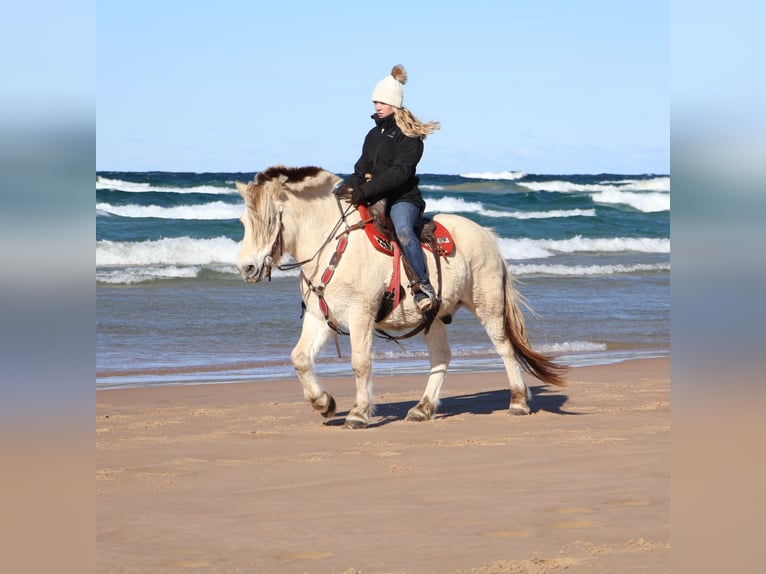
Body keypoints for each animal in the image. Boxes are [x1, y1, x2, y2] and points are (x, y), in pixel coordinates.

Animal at [235, 165, 567, 429]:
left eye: (268, 221)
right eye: (242, 222)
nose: (246, 268)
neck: (334, 246)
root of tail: (487, 235)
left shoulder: (361, 316)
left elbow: (360, 363)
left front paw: (358, 413)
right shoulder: (319, 316)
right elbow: (300, 358)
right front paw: (324, 403)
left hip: (488, 306)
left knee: (505, 348)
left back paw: (518, 402)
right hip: (434, 316)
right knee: (442, 357)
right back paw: (423, 408)